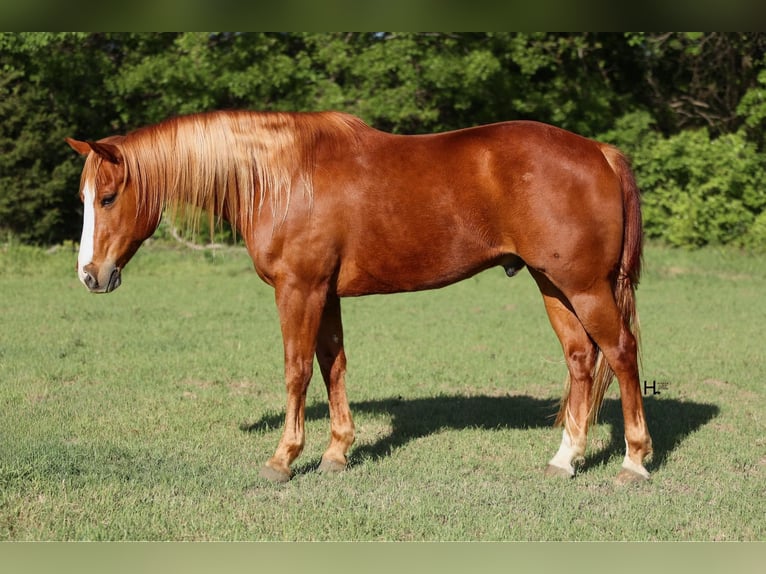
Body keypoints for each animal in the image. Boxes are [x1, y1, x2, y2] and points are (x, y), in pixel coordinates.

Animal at [66, 110, 652, 484]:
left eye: (109, 197)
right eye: (84, 197)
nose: (90, 275)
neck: (283, 176)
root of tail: (600, 152)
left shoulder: (299, 289)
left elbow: (298, 369)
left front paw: (284, 459)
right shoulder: (324, 293)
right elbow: (334, 365)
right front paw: (337, 452)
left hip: (583, 286)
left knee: (621, 353)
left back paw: (633, 462)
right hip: (553, 284)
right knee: (581, 359)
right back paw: (565, 460)